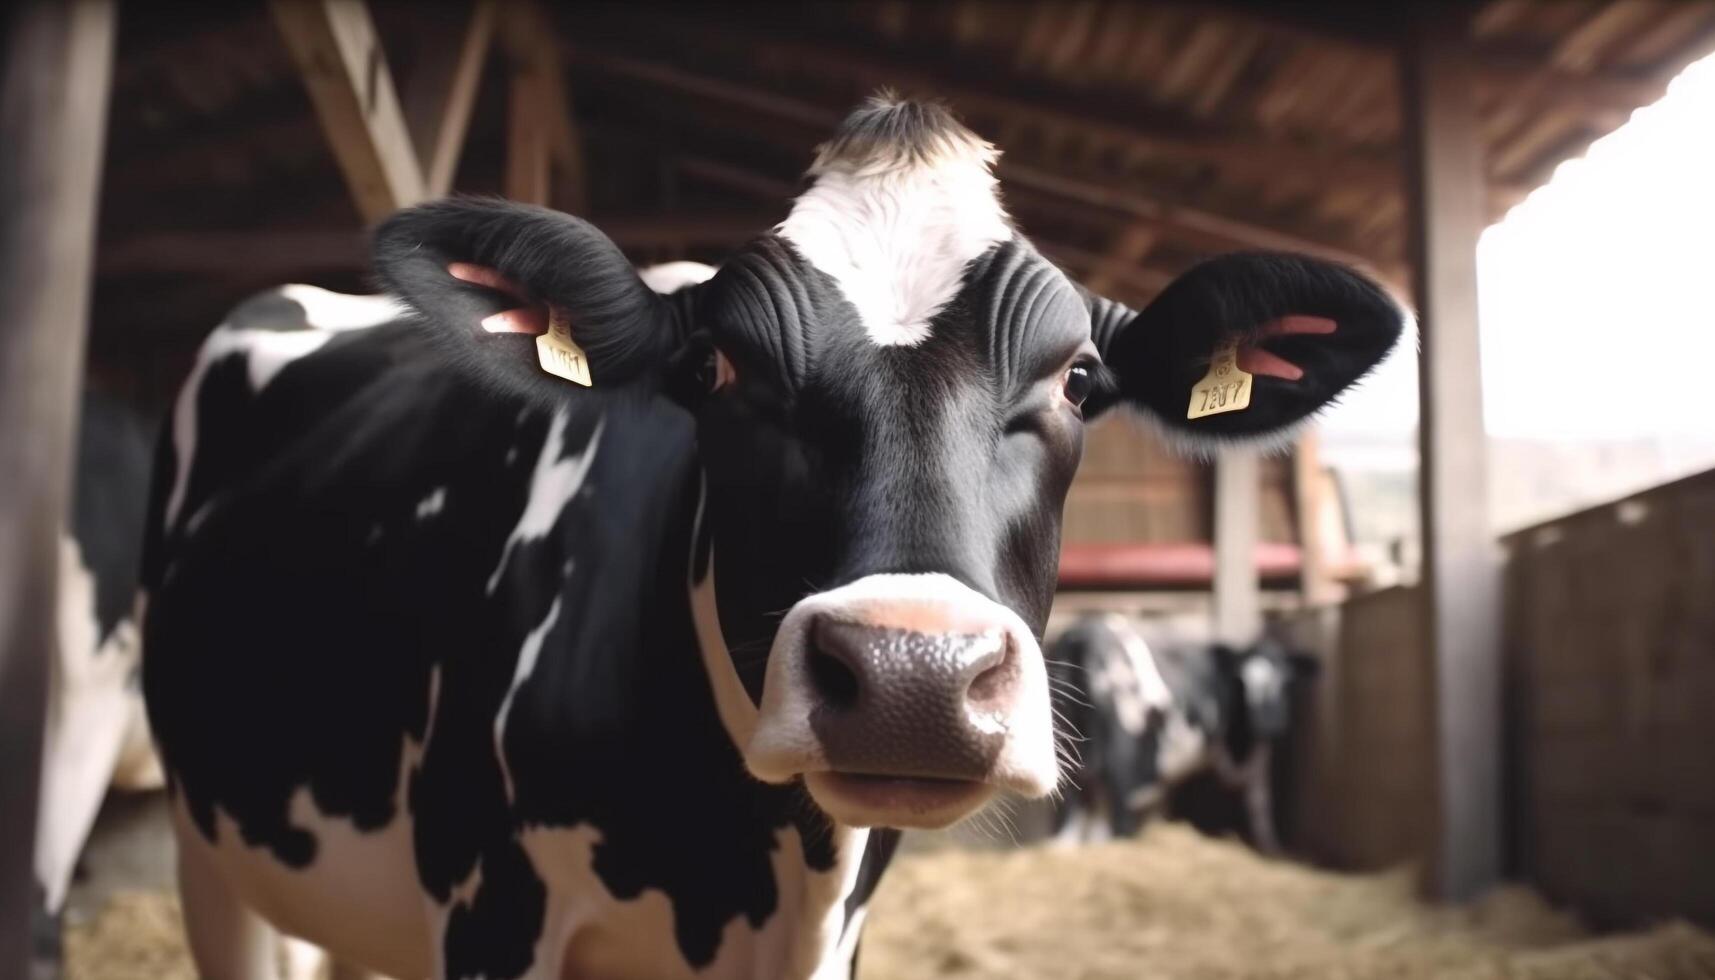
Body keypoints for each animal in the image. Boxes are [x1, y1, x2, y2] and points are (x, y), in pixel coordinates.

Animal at [1042, 617, 1310, 854]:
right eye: (1244, 682)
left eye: (1286, 682)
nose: (1272, 725)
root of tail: (1083, 636)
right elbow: (1259, 804)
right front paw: (1270, 849)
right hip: (1121, 762)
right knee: (1116, 822)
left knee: (1070, 827)